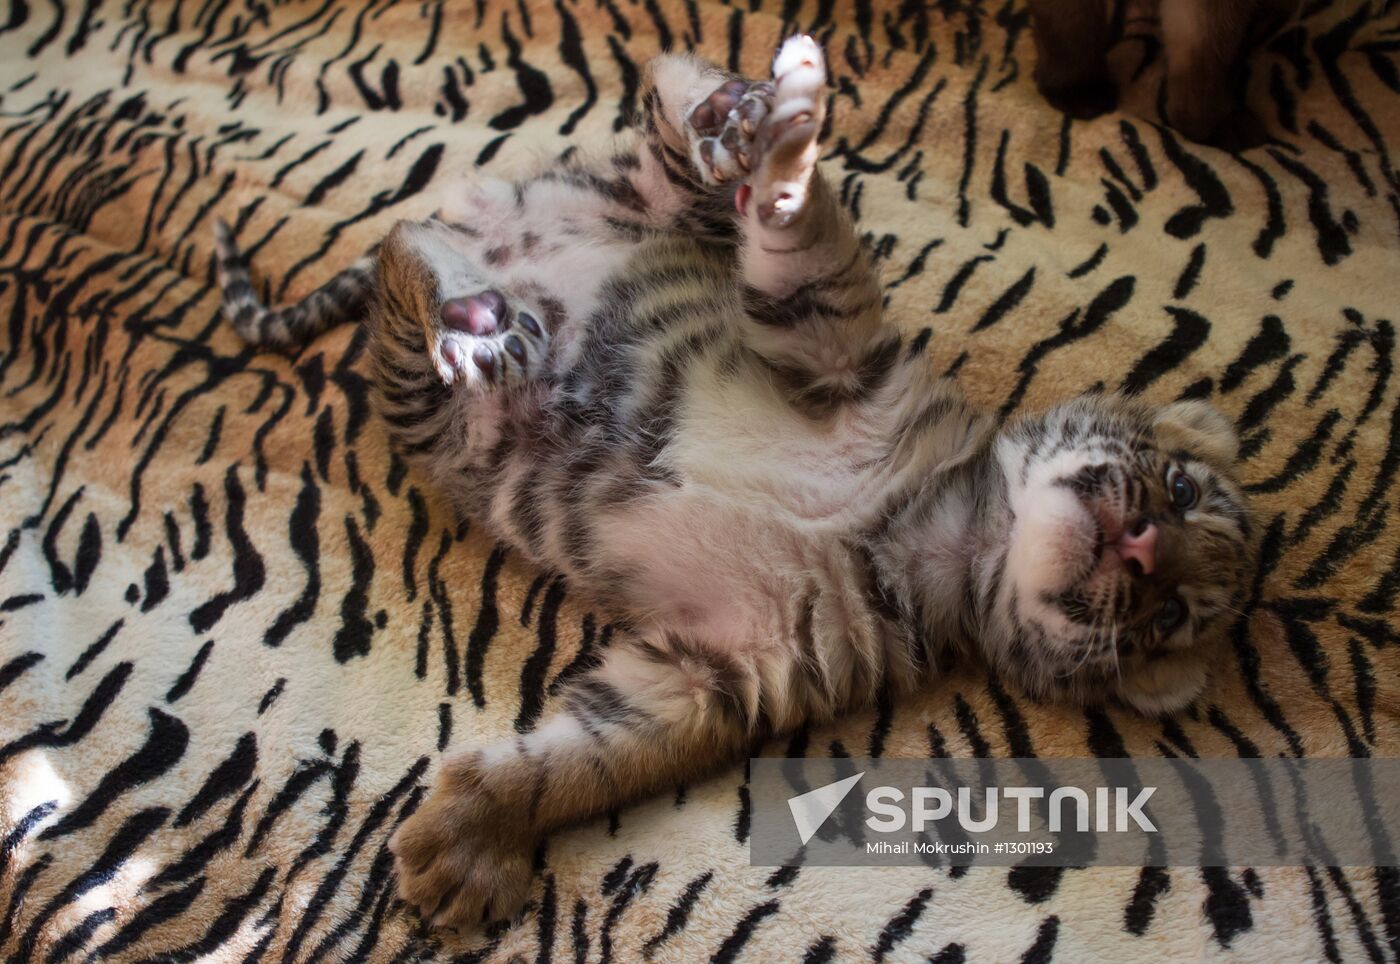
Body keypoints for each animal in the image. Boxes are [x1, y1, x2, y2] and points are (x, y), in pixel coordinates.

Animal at [212, 36, 1255, 929]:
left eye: (1172, 616)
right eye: (1179, 487)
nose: (1145, 546)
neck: (941, 533)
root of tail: (488, 215)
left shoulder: (730, 670)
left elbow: (596, 756)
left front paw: (467, 838)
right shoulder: (834, 350)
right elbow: (805, 236)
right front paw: (787, 147)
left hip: (429, 408)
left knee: (408, 256)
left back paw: (483, 317)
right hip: (658, 215)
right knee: (583, 154)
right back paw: (742, 110)